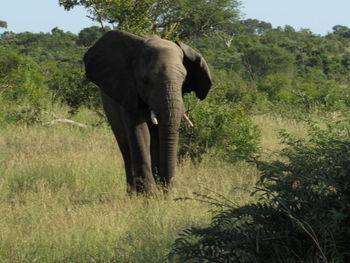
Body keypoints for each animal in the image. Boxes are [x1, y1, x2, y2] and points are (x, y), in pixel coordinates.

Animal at [83, 31, 212, 194]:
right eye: (145, 80)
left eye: (184, 81)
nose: (168, 190)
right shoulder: (129, 91)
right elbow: (139, 132)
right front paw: (149, 194)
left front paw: (159, 192)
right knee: (125, 145)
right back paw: (132, 193)